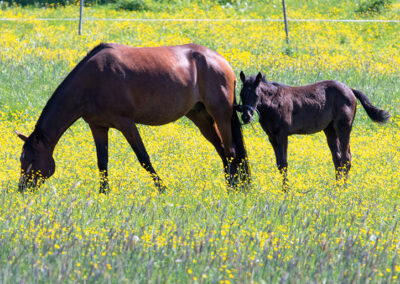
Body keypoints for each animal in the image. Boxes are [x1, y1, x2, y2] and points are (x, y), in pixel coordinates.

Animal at [14, 42, 250, 193]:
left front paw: (162, 189)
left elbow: (143, 158)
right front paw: (103, 194)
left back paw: (233, 189)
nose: (22, 189)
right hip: (200, 117)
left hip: (220, 114)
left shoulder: (126, 124)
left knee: (230, 151)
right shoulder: (98, 127)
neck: (91, 81)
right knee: (222, 151)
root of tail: (221, 61)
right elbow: (102, 162)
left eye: (30, 159)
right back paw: (232, 186)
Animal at [236, 72, 390, 190]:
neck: (274, 103)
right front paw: (283, 190)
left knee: (346, 158)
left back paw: (343, 188)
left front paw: (286, 191)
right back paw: (337, 187)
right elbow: (279, 164)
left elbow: (284, 164)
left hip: (344, 128)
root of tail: (350, 90)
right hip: (330, 130)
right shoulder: (271, 136)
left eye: (256, 94)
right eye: (241, 94)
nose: (246, 116)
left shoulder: (282, 135)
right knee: (338, 159)